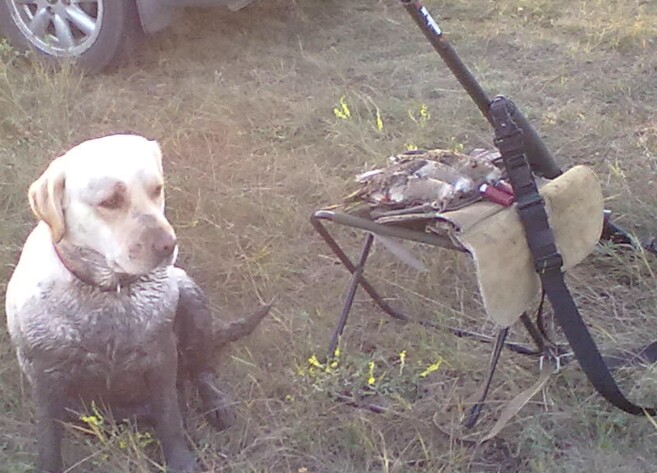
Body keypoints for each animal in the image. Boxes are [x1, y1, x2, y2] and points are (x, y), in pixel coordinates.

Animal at [5, 134, 269, 473]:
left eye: (157, 189)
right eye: (109, 201)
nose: (168, 245)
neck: (107, 292)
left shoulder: (160, 359)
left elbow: (170, 420)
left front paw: (182, 461)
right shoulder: (44, 375)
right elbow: (48, 439)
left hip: (191, 298)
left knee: (202, 371)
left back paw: (215, 404)